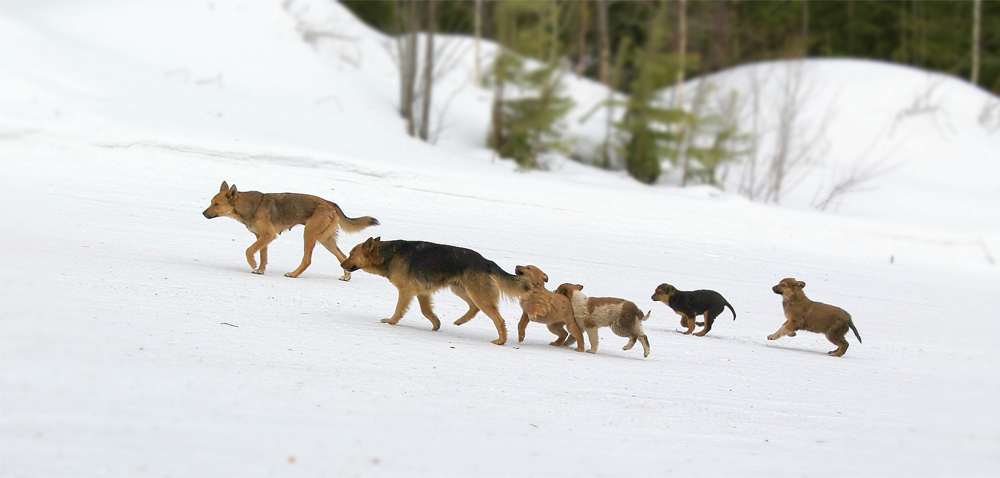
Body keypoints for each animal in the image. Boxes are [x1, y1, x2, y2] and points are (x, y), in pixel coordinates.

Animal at [203, 182, 378, 280]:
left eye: (217, 204)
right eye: (211, 202)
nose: (203, 213)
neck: (249, 206)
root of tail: (330, 203)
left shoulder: (268, 235)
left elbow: (249, 250)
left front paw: (252, 263)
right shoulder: (262, 236)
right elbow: (263, 255)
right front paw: (260, 270)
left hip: (309, 234)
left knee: (307, 260)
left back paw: (293, 274)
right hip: (326, 239)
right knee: (341, 257)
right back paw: (346, 277)